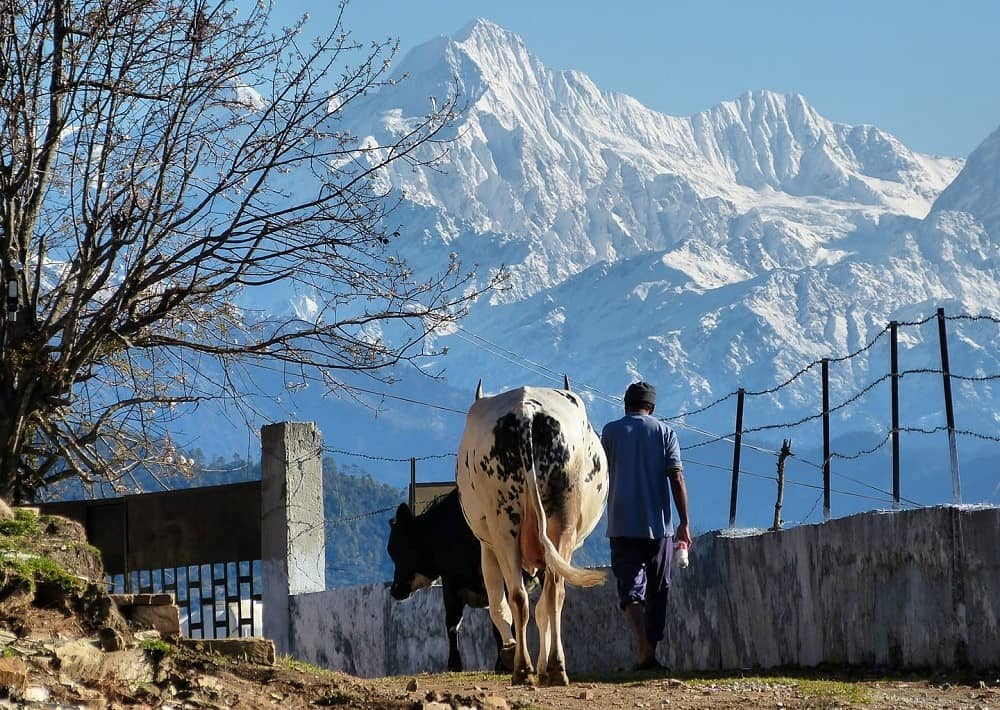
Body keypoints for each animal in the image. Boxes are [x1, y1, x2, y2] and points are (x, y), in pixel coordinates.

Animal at [456, 384, 608, 688]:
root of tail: (525, 411)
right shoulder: (490, 546)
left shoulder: (487, 547)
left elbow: (499, 603)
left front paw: (518, 654)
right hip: (556, 523)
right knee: (549, 592)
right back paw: (549, 667)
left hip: (506, 525)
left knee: (526, 595)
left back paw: (529, 667)